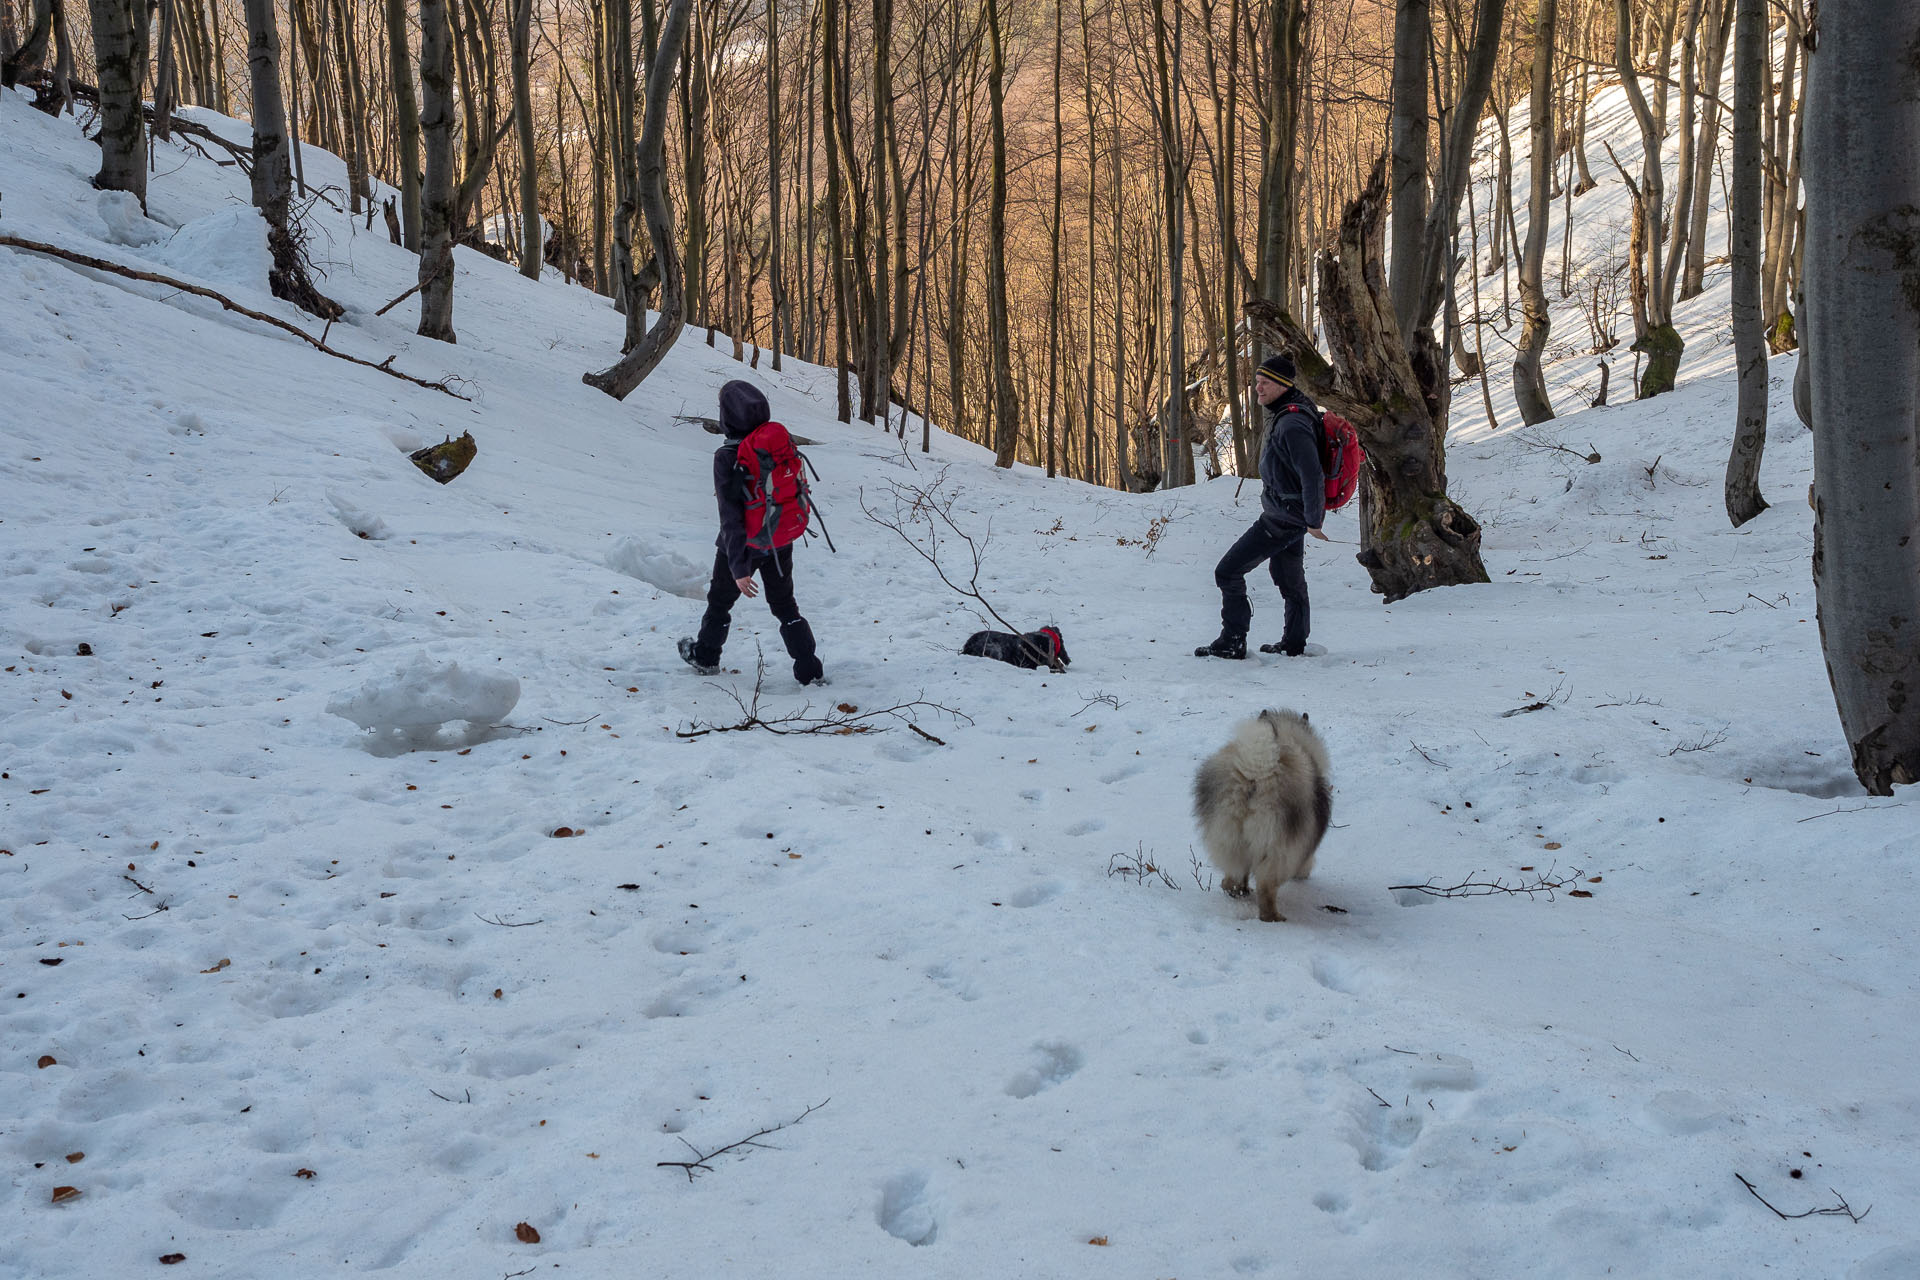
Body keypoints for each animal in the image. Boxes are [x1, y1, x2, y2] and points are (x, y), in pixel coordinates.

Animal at [1190, 710, 1328, 921]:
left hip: (1228, 835)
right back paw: (1273, 917)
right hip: (1274, 848)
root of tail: (1257, 771)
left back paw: (1238, 891)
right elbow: (1306, 860)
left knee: (1233, 877)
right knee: (1266, 889)